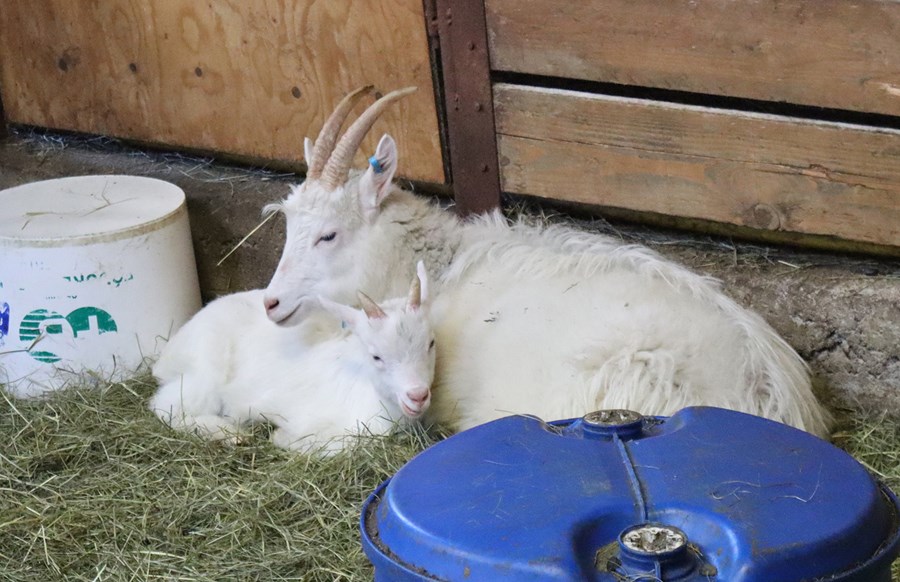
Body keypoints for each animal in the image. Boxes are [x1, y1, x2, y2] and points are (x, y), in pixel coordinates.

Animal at [149, 262, 434, 454]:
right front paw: (280, 437)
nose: (418, 396)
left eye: (431, 343)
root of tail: (167, 355)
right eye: (376, 356)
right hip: (203, 370)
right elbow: (338, 444)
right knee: (166, 406)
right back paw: (229, 434)